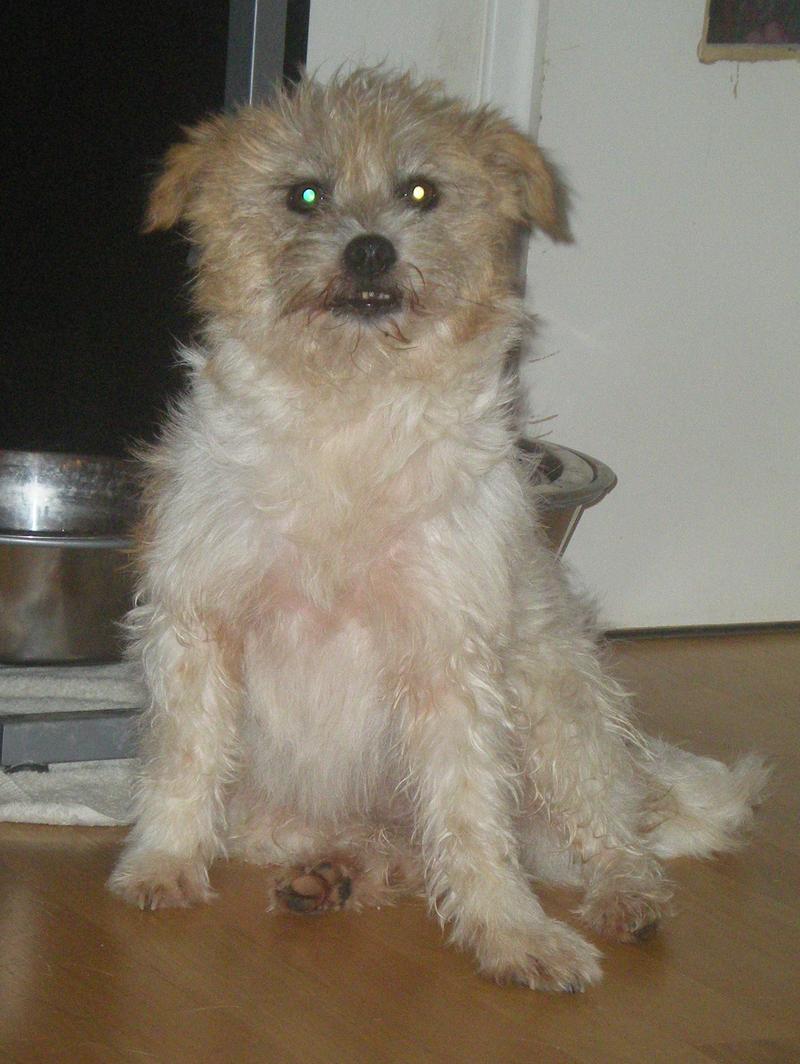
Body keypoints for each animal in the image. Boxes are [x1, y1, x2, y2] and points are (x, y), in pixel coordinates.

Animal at [109, 69, 768, 991]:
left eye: (420, 192)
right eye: (303, 194)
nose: (370, 250)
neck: (347, 410)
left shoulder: (447, 659)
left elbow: (469, 816)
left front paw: (511, 933)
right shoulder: (197, 624)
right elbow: (185, 760)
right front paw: (161, 864)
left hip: (560, 711)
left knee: (604, 838)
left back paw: (625, 899)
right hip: (285, 811)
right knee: (397, 852)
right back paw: (332, 876)